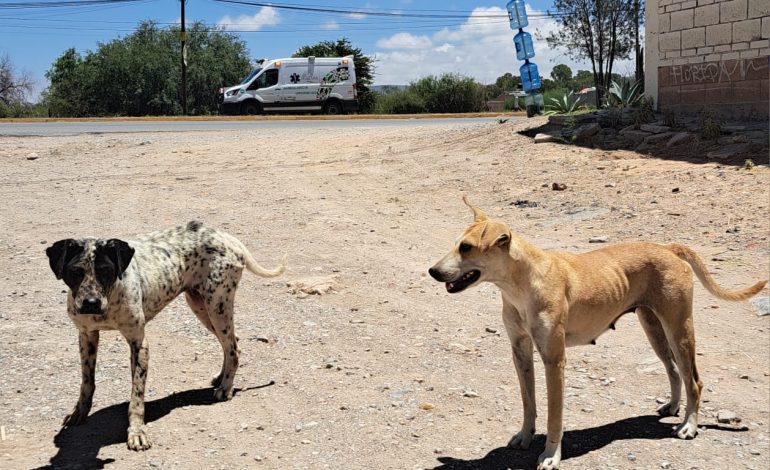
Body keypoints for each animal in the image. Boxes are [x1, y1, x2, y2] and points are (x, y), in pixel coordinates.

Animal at [42, 222, 282, 450]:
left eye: (106, 270)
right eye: (75, 271)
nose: (90, 304)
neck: (110, 299)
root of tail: (227, 237)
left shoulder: (139, 344)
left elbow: (136, 397)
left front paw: (137, 432)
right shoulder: (87, 336)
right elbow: (87, 382)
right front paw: (79, 412)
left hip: (217, 306)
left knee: (233, 347)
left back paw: (226, 388)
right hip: (201, 306)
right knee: (232, 344)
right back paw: (221, 378)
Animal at [428, 196, 764, 468]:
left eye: (466, 247)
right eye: (456, 243)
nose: (432, 271)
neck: (521, 284)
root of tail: (668, 248)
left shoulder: (554, 360)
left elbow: (554, 415)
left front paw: (550, 456)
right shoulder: (520, 351)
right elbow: (528, 402)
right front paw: (525, 436)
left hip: (679, 329)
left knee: (694, 379)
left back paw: (689, 426)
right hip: (654, 329)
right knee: (673, 371)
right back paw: (672, 407)